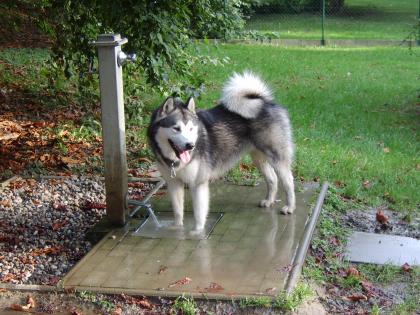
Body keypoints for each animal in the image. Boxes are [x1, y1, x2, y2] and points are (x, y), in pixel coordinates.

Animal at [148, 73, 296, 233]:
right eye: (176, 128)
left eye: (191, 128)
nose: (190, 146)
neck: (175, 160)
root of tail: (265, 101)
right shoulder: (174, 183)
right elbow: (177, 212)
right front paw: (177, 229)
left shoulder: (198, 183)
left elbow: (199, 214)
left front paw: (197, 233)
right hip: (258, 158)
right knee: (272, 178)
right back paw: (269, 200)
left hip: (276, 157)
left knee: (288, 180)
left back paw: (289, 207)